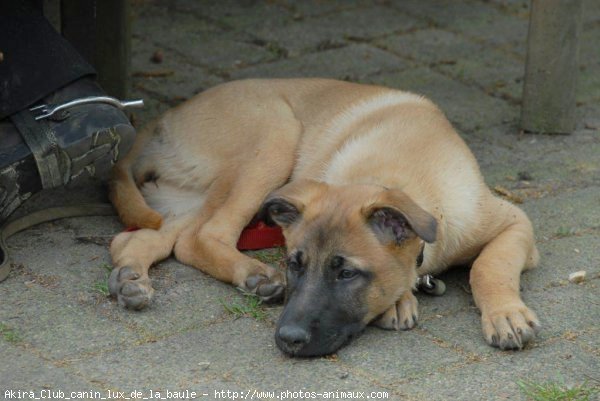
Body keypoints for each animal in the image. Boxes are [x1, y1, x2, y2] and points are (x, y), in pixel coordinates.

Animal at [106, 78, 540, 356]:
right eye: (294, 263)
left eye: (346, 273)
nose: (287, 340)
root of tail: (163, 120)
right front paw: (400, 300)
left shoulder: (515, 223)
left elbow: (489, 266)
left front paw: (505, 314)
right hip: (275, 134)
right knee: (202, 236)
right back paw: (254, 275)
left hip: (183, 198)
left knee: (141, 238)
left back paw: (130, 279)